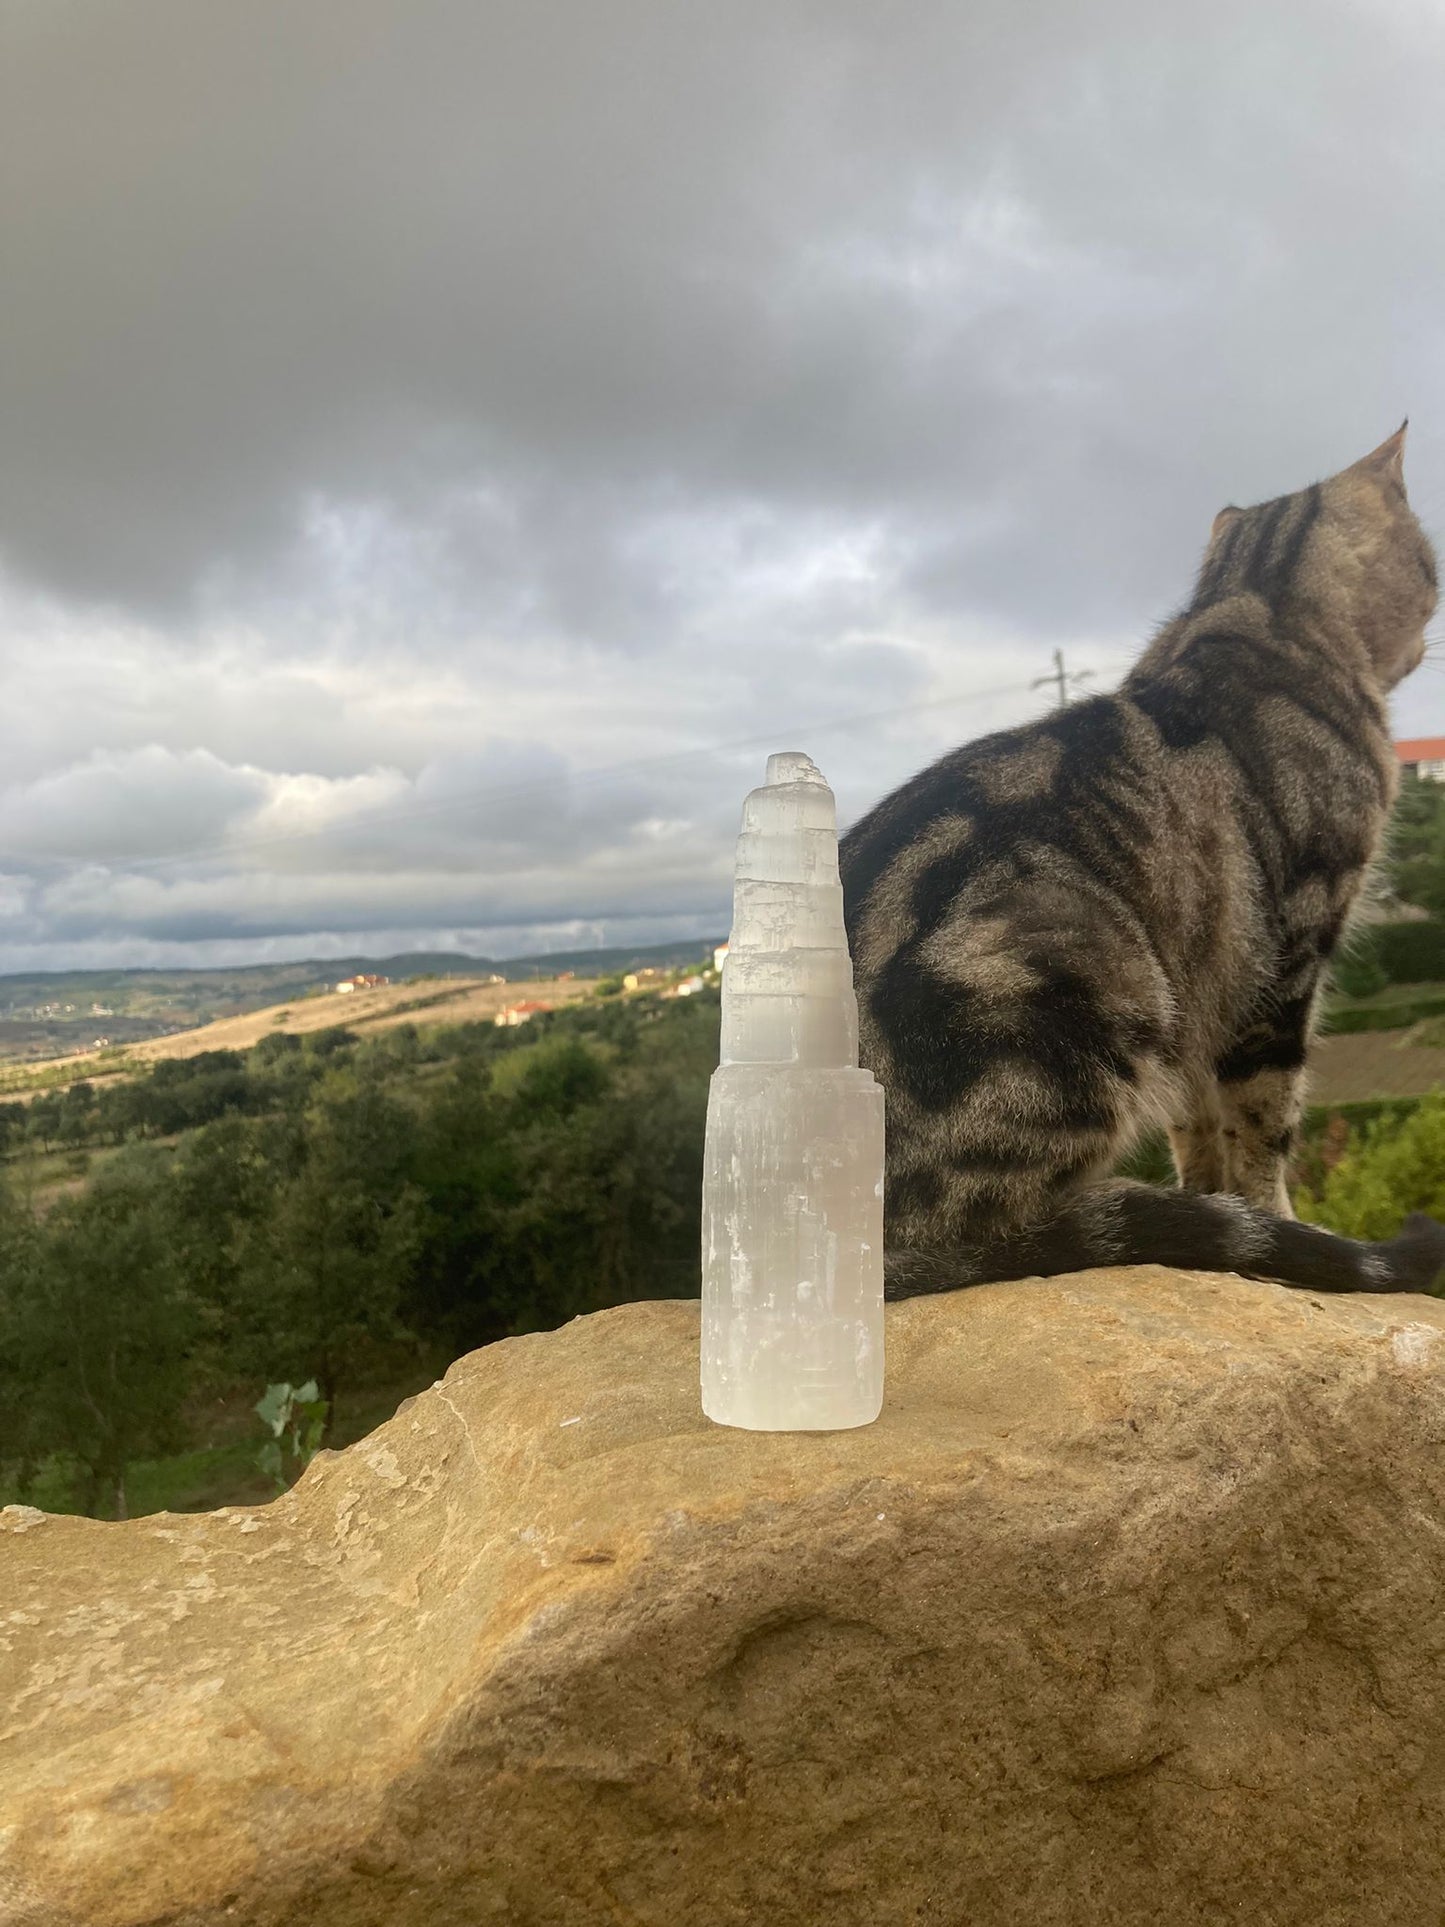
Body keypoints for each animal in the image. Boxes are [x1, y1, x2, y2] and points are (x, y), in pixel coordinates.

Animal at [836, 429, 1445, 1302]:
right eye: (1429, 565)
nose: (1427, 630)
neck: (1249, 611)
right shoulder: (1286, 959)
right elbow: (1264, 1126)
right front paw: (1280, 1226)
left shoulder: (1203, 991)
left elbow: (1199, 1127)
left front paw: (1217, 1202)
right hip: (1077, 977)